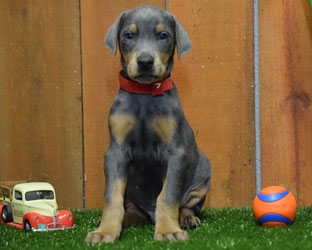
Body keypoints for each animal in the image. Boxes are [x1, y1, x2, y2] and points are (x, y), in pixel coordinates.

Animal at [85, 5, 212, 244]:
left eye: (163, 36)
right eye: (128, 35)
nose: (145, 62)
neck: (144, 94)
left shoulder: (175, 152)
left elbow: (167, 196)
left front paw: (168, 230)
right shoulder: (116, 152)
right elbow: (112, 197)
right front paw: (105, 231)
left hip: (203, 172)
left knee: (188, 205)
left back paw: (186, 219)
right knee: (131, 209)